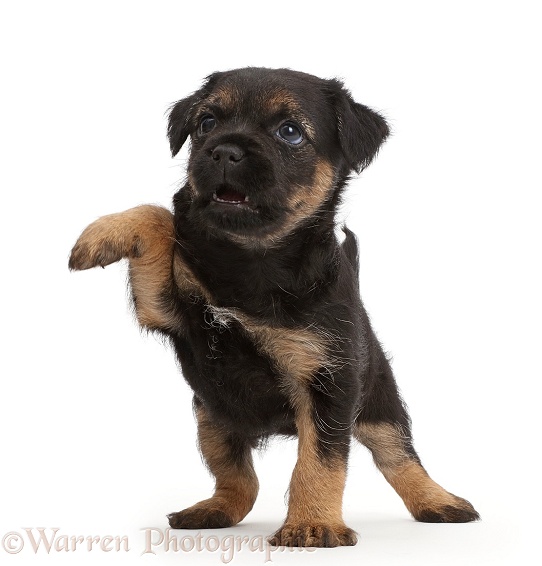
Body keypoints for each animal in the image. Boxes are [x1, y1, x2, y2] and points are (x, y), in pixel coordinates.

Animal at [68, 67, 480, 552]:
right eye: (206, 123)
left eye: (290, 132)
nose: (223, 150)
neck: (254, 261)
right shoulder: (166, 308)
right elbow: (157, 217)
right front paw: (102, 234)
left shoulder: (328, 383)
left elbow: (320, 462)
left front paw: (313, 524)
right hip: (212, 419)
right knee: (239, 480)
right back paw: (213, 509)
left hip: (378, 403)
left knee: (399, 455)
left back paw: (439, 501)